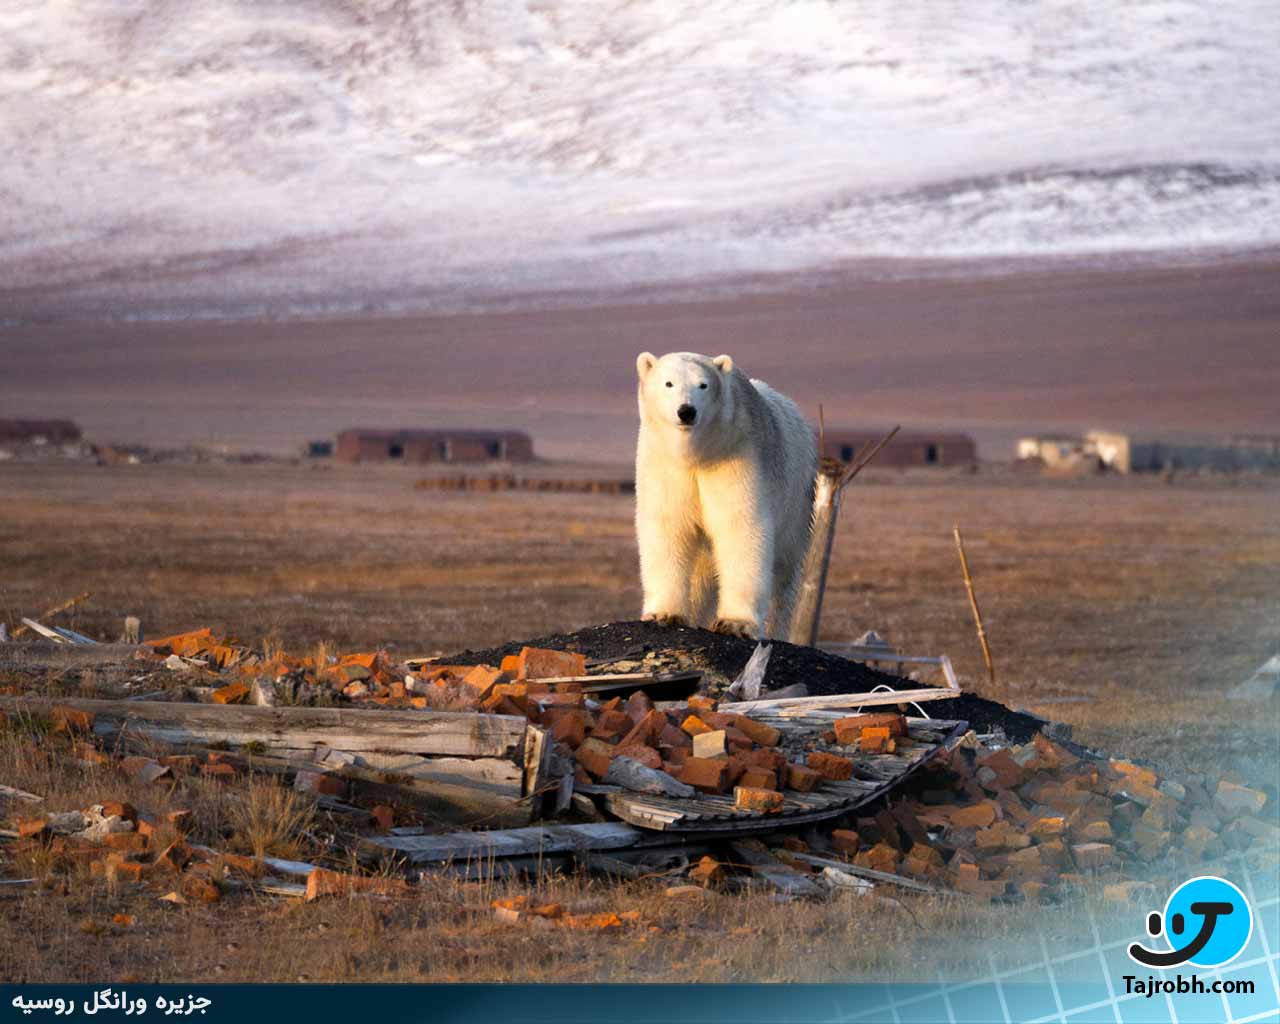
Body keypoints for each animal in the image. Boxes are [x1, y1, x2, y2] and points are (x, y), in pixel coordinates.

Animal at [634, 353, 814, 640]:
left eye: (703, 385)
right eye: (668, 383)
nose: (686, 411)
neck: (698, 453)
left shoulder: (737, 455)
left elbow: (740, 527)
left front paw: (735, 623)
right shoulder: (665, 465)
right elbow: (668, 526)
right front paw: (664, 614)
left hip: (796, 499)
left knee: (784, 573)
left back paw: (775, 630)